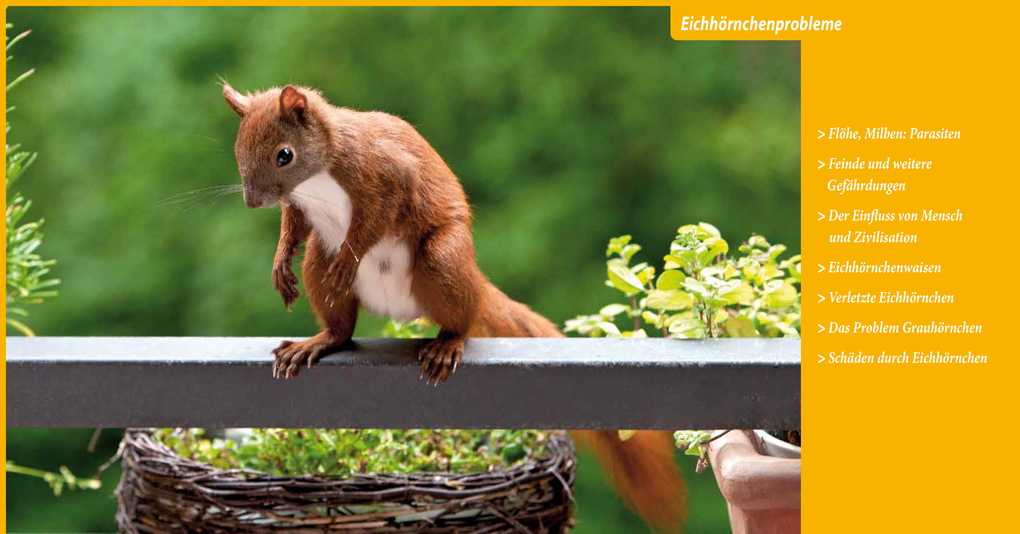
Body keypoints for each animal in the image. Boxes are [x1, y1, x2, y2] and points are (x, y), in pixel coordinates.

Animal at [223, 83, 686, 533]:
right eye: (238, 148)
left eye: (284, 155)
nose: (251, 201)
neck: (318, 175)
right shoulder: (301, 205)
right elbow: (292, 226)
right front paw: (280, 263)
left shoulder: (385, 175)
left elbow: (372, 222)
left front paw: (348, 261)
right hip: (320, 258)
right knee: (340, 324)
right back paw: (319, 341)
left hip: (442, 259)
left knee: (460, 316)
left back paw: (447, 343)